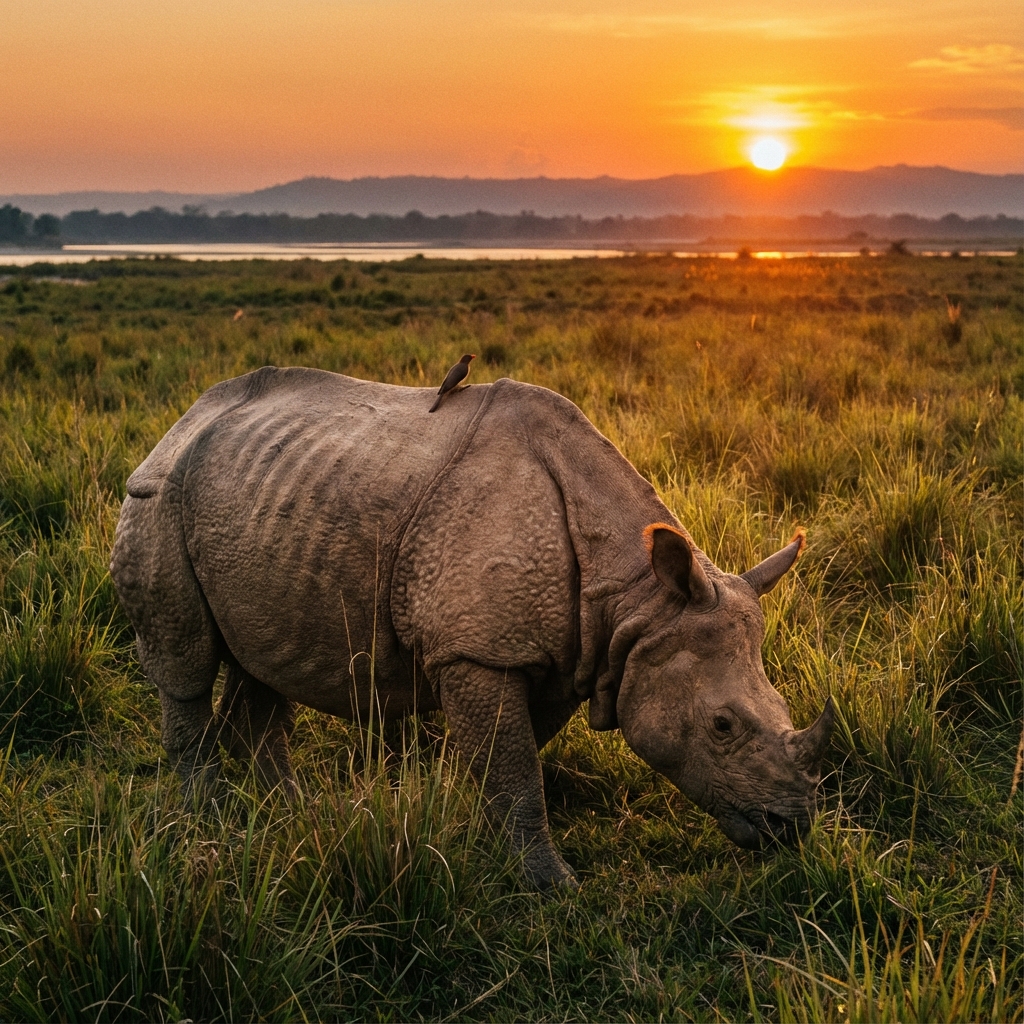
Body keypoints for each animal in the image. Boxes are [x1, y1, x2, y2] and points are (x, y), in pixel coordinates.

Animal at [110, 366, 833, 888]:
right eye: (722, 726)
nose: (789, 827)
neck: (637, 600)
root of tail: (182, 420)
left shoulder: (565, 652)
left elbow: (512, 756)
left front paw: (471, 831)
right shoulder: (477, 650)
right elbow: (515, 767)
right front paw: (552, 887)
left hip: (255, 507)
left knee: (263, 663)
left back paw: (290, 814)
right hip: (157, 496)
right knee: (184, 663)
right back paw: (210, 821)